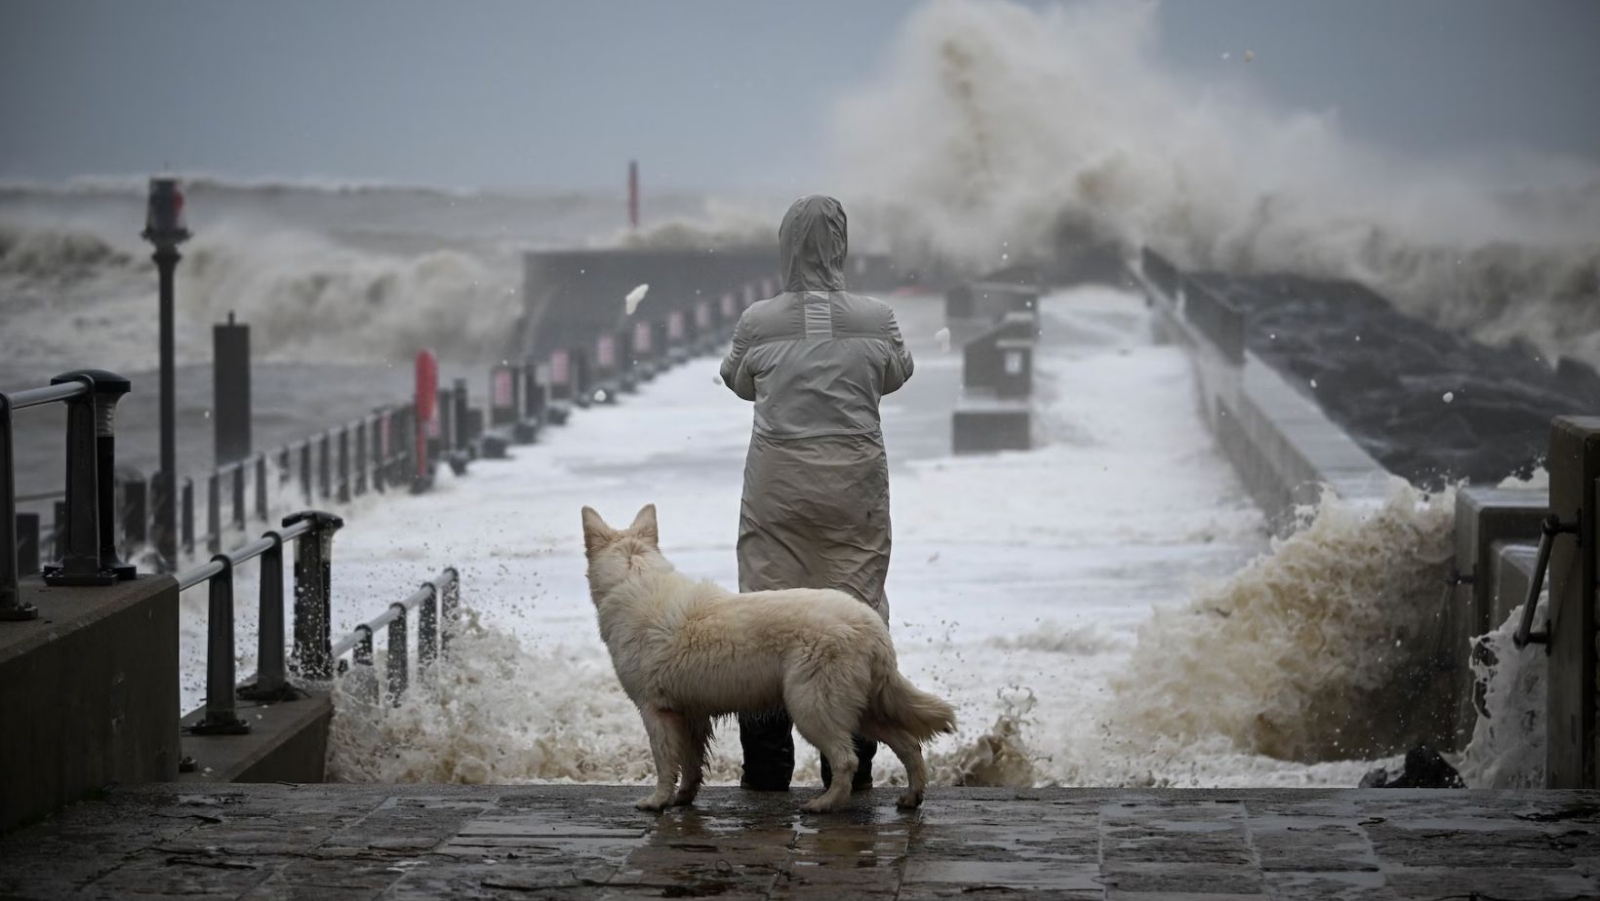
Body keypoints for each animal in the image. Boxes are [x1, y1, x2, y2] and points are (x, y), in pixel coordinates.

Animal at [588, 505, 960, 812]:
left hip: (811, 706)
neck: (634, 574)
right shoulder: (692, 713)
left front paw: (657, 801)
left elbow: (665, 762)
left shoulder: (656, 711)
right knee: (909, 744)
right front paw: (683, 798)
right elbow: (692, 764)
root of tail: (871, 626)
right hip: (861, 709)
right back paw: (912, 797)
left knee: (846, 759)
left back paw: (825, 805)